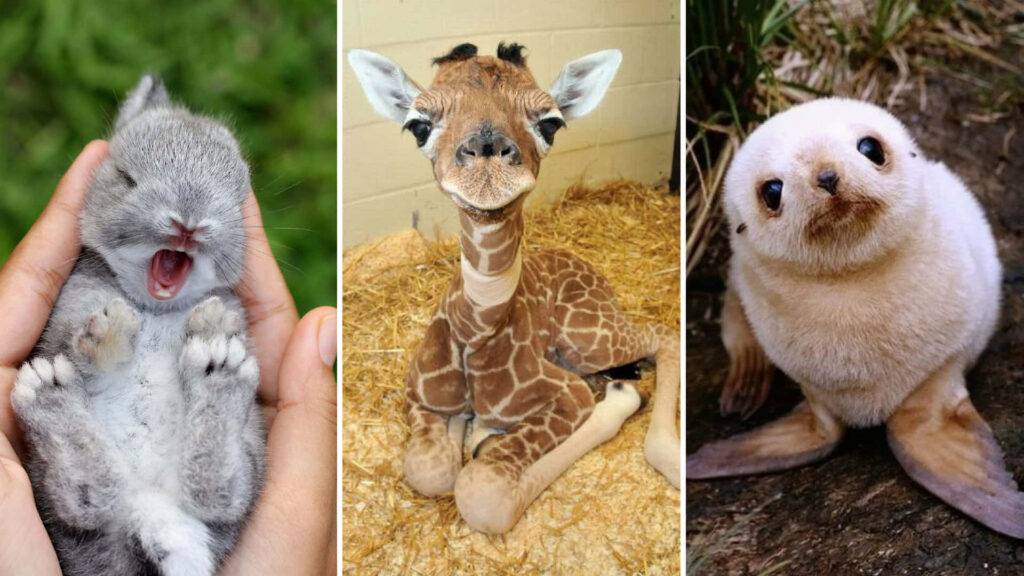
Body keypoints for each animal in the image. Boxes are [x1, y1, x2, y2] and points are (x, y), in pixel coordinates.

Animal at [348, 42, 680, 534]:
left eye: (550, 122)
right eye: (418, 125)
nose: (487, 156)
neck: (476, 331)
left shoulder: (568, 394)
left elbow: (482, 492)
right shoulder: (419, 394)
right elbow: (431, 469)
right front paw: (468, 431)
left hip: (588, 339)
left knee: (664, 336)